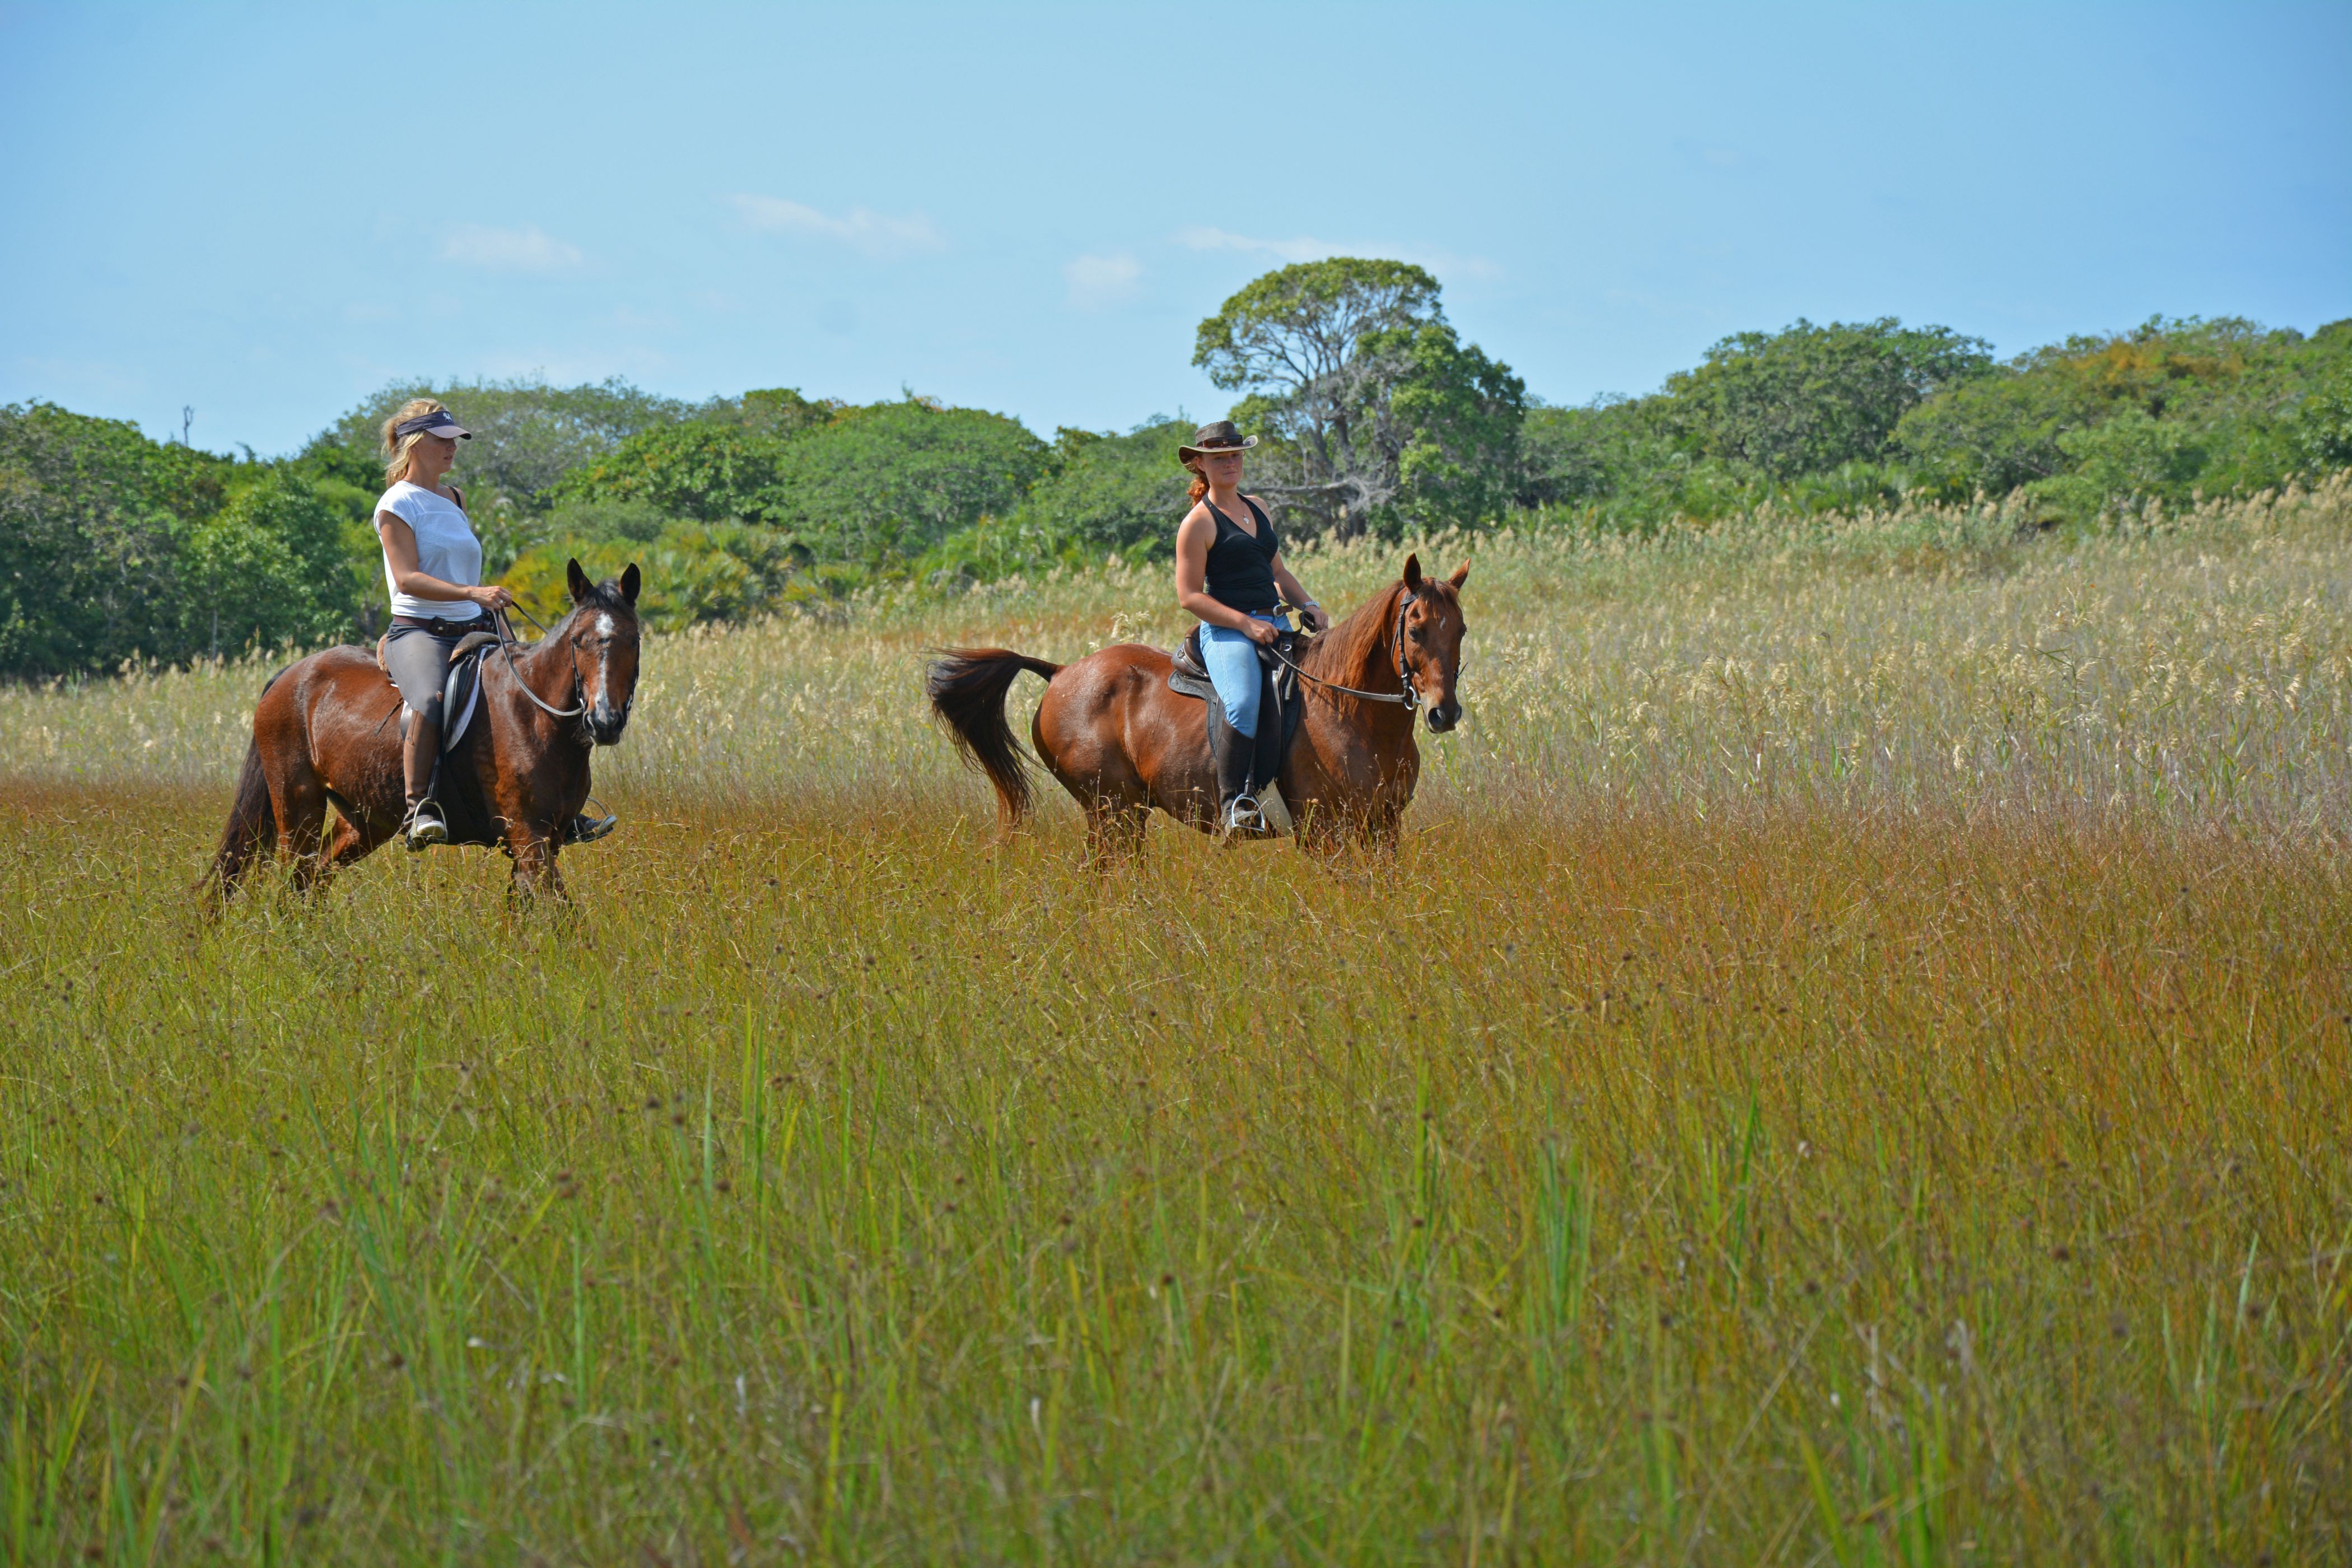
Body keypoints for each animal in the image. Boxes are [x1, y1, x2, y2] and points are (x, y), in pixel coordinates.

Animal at [203, 564, 640, 907]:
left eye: (633, 640)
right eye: (578, 641)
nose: (604, 721)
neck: (536, 714)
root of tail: (289, 675)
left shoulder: (545, 840)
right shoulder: (528, 836)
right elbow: (561, 915)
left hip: (364, 820)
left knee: (317, 877)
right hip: (298, 808)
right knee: (295, 883)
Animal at [931, 545, 1467, 851]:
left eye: (1460, 630)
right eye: (1415, 630)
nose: (1444, 713)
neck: (1355, 715)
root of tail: (1060, 673)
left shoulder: (1384, 826)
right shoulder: (1323, 832)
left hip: (1126, 814)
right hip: (1110, 811)